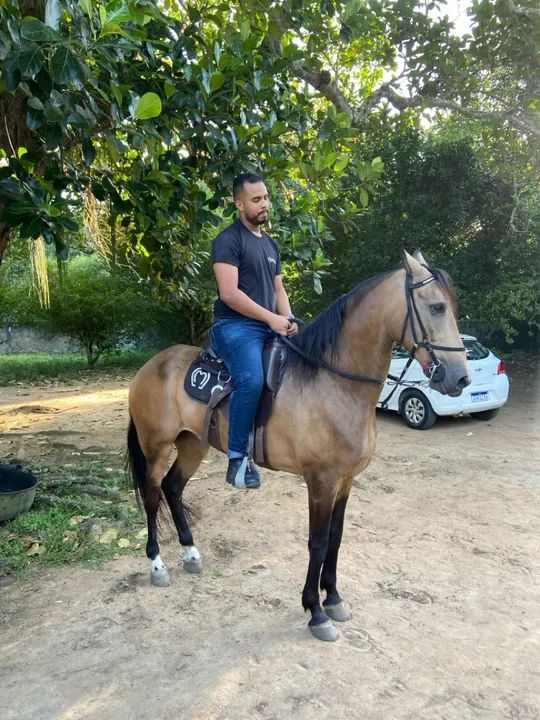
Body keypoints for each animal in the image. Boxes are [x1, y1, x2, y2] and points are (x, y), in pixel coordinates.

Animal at [126, 250, 470, 641]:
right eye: (437, 307)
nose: (460, 378)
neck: (333, 383)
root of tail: (152, 365)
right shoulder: (320, 481)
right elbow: (317, 543)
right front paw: (315, 611)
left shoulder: (346, 480)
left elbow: (335, 538)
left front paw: (333, 598)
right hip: (156, 447)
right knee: (153, 496)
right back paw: (157, 564)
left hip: (193, 445)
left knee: (173, 488)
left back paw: (190, 554)